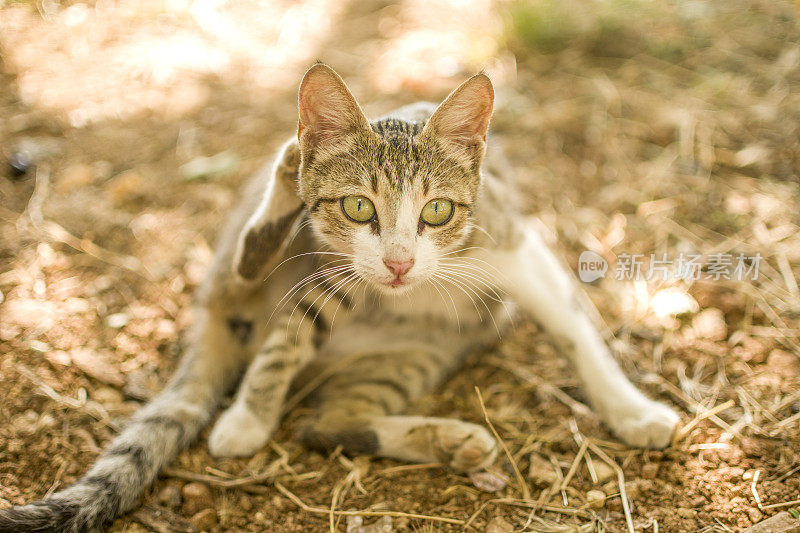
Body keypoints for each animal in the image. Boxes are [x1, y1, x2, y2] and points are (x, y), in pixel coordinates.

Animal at [0, 64, 680, 528]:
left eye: (437, 210)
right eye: (357, 206)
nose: (401, 262)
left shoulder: (516, 244)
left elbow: (574, 330)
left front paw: (631, 410)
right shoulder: (334, 271)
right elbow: (289, 335)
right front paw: (247, 417)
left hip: (414, 354)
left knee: (325, 421)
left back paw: (444, 438)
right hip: (263, 274)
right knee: (251, 278)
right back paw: (287, 179)